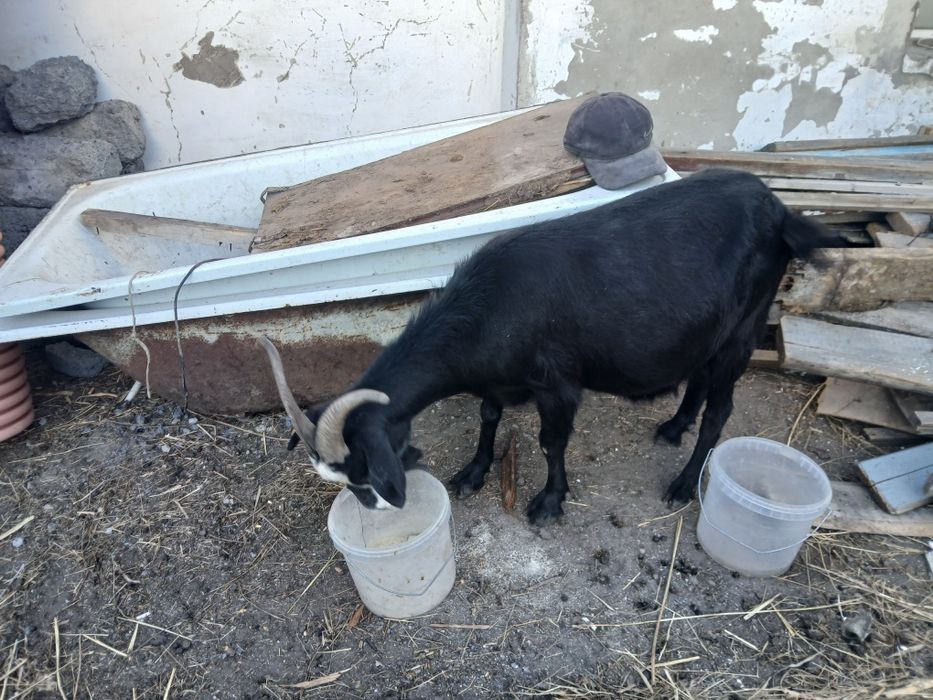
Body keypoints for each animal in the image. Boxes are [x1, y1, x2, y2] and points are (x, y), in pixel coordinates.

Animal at [260, 168, 844, 524]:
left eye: (364, 470)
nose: (378, 510)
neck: (488, 308)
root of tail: (781, 211)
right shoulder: (496, 379)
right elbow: (488, 416)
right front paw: (473, 472)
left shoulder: (558, 384)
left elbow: (550, 443)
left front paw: (548, 501)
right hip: (711, 328)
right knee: (698, 377)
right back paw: (673, 426)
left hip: (746, 324)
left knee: (721, 410)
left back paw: (683, 482)